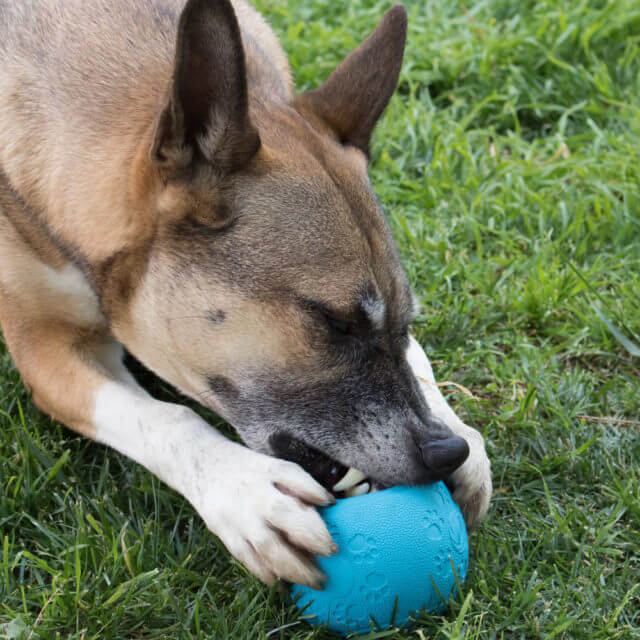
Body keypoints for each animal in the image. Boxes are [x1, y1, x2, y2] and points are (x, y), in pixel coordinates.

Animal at [0, 0, 491, 588]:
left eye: (405, 322)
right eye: (335, 323)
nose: (446, 452)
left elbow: (418, 361)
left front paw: (460, 429)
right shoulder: (45, 347)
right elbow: (167, 418)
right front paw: (247, 490)